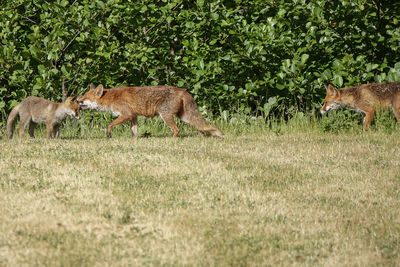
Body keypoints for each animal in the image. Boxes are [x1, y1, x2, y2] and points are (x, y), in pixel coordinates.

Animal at [76, 84, 223, 138]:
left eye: (84, 98)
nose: (77, 100)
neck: (111, 98)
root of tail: (183, 90)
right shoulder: (133, 116)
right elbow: (134, 132)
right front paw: (135, 141)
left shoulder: (126, 114)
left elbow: (110, 124)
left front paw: (108, 134)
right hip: (184, 117)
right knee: (200, 126)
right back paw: (202, 137)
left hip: (166, 115)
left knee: (177, 130)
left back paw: (171, 140)